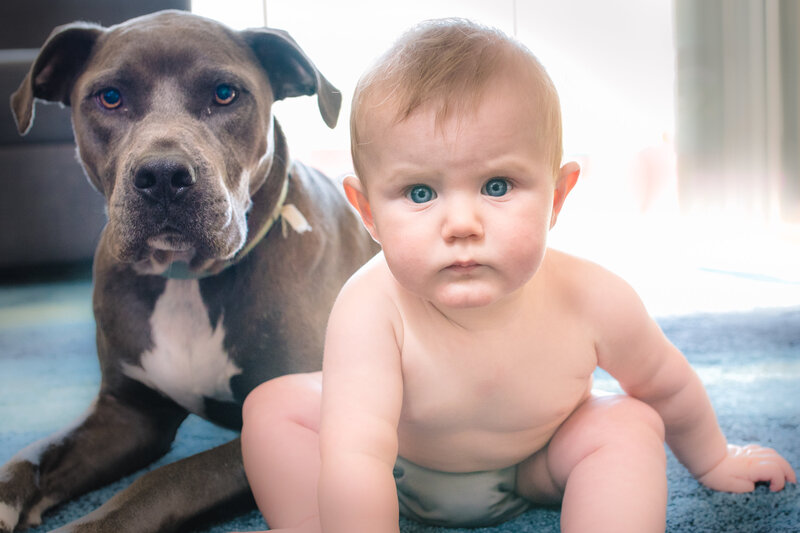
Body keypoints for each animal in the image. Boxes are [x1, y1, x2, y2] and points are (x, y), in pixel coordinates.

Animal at [0, 9, 378, 532]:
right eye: (109, 97)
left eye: (225, 94)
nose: (162, 175)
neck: (185, 279)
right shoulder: (128, 416)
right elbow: (32, 455)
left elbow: (166, 480)